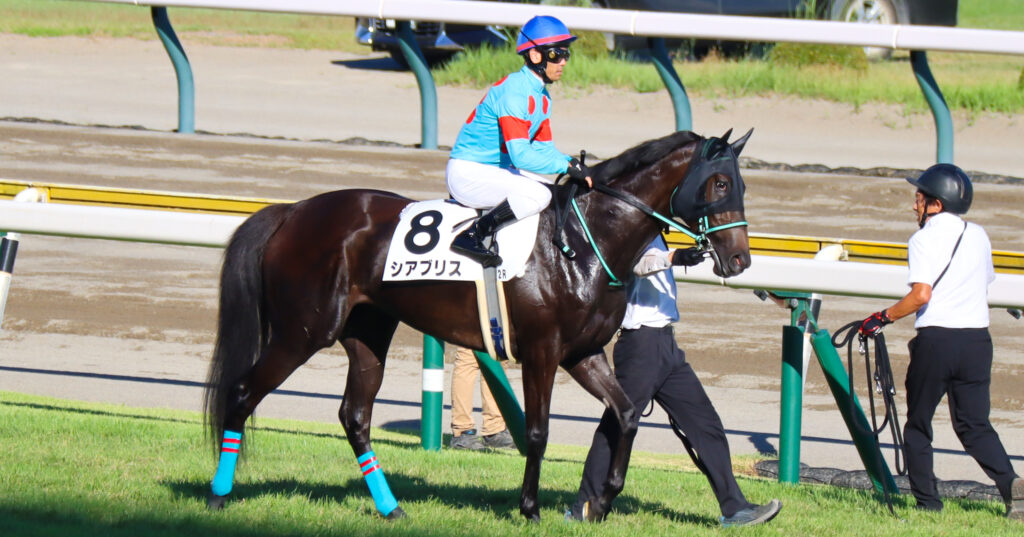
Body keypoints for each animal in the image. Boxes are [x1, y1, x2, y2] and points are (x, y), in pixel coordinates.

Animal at [203, 128, 753, 522]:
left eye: (742, 184)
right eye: (721, 182)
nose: (740, 259)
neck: (581, 243)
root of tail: (292, 211)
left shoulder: (584, 353)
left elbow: (628, 413)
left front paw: (601, 500)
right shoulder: (542, 353)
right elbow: (537, 431)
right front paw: (530, 509)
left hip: (366, 334)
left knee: (354, 417)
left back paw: (392, 508)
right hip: (301, 332)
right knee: (243, 391)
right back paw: (217, 496)